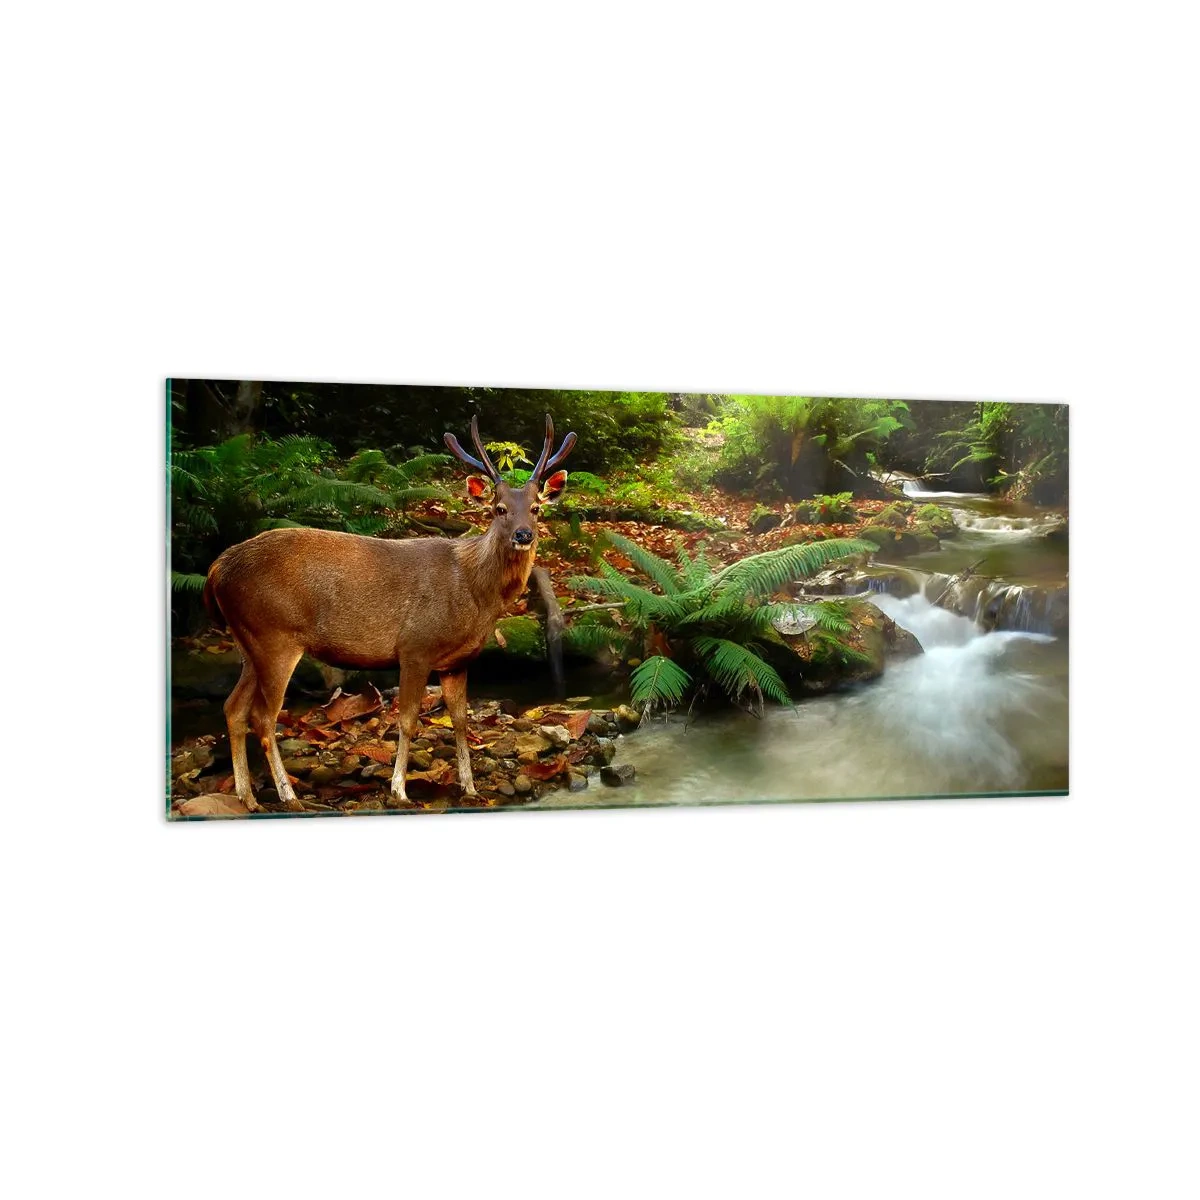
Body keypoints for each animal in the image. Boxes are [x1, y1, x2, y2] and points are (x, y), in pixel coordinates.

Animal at [201, 414, 576, 812]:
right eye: (499, 508)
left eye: (536, 508)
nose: (523, 535)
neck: (475, 594)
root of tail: (215, 570)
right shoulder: (415, 646)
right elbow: (408, 720)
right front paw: (399, 789)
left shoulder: (456, 662)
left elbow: (460, 720)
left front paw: (470, 787)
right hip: (274, 635)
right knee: (263, 717)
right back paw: (289, 797)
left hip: (248, 641)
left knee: (233, 708)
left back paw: (247, 796)